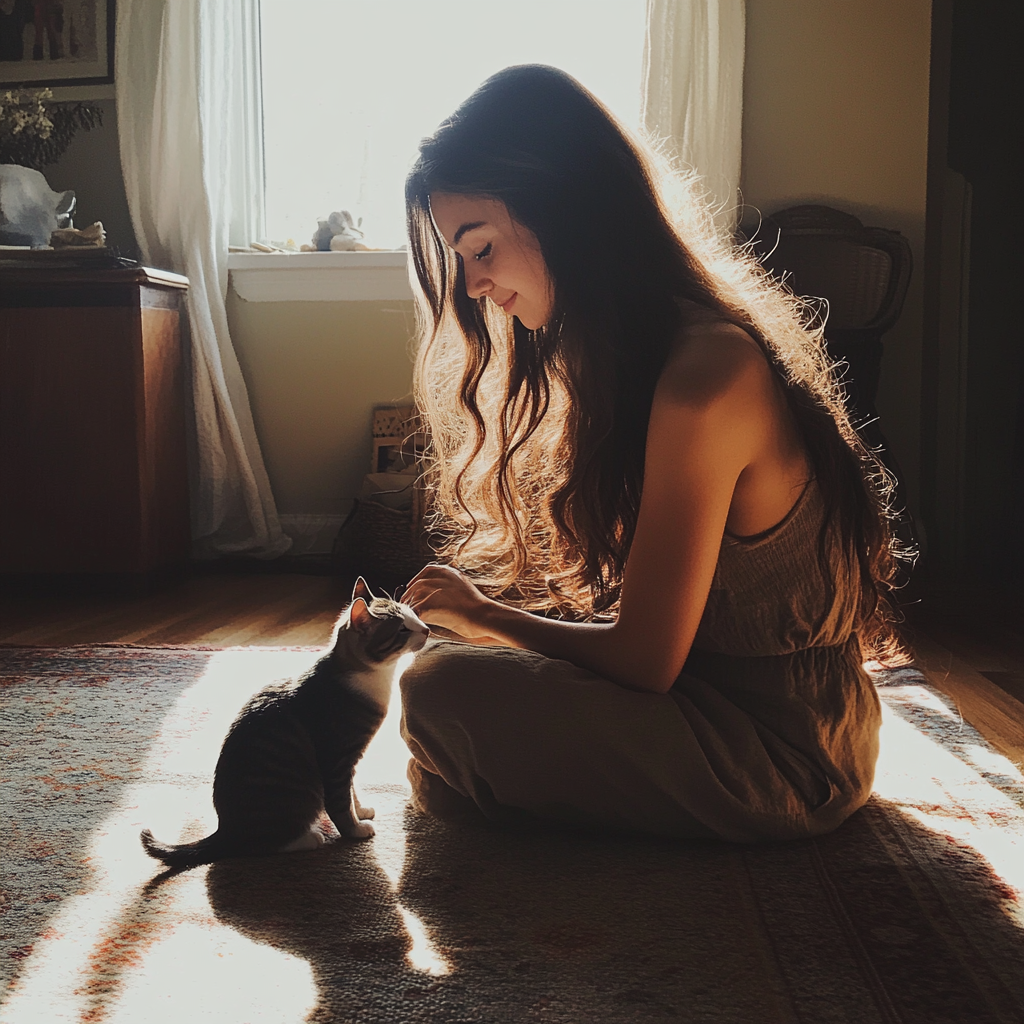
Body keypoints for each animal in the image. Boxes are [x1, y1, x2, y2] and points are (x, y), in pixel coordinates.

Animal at [140, 581, 428, 868]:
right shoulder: (337, 757)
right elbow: (340, 802)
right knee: (259, 844)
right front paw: (355, 829)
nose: (426, 629)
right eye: (403, 629)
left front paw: (361, 810)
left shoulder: (349, 761)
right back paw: (309, 838)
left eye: (412, 616)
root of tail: (225, 829)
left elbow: (351, 792)